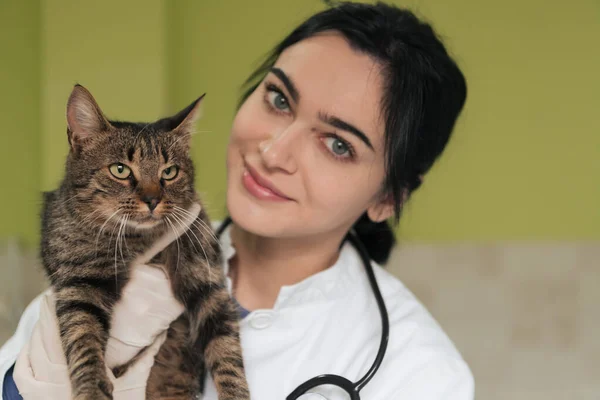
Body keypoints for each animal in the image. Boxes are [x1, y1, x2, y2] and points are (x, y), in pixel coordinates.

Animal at [40, 83, 251, 398]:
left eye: (169, 172)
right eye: (120, 170)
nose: (152, 200)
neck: (139, 239)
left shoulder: (209, 284)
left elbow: (227, 352)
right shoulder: (80, 285)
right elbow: (83, 340)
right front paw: (91, 389)